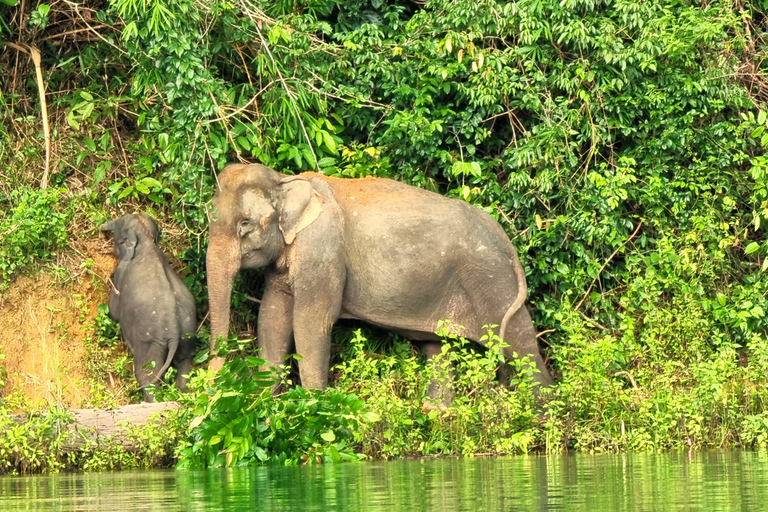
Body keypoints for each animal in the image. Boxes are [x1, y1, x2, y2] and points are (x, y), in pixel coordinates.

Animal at [100, 214, 196, 402]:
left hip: (151, 341)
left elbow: (114, 312)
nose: (102, 227)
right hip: (187, 336)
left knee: (147, 375)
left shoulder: (120, 272)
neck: (146, 240)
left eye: (118, 237)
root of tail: (174, 329)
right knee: (184, 367)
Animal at [204, 164, 552, 392]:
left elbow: (311, 321)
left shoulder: (322, 249)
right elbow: (272, 317)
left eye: (245, 224)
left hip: (491, 277)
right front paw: (265, 406)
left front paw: (315, 405)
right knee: (437, 347)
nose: (208, 386)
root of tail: (505, 238)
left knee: (519, 342)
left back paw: (541, 416)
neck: (285, 180)